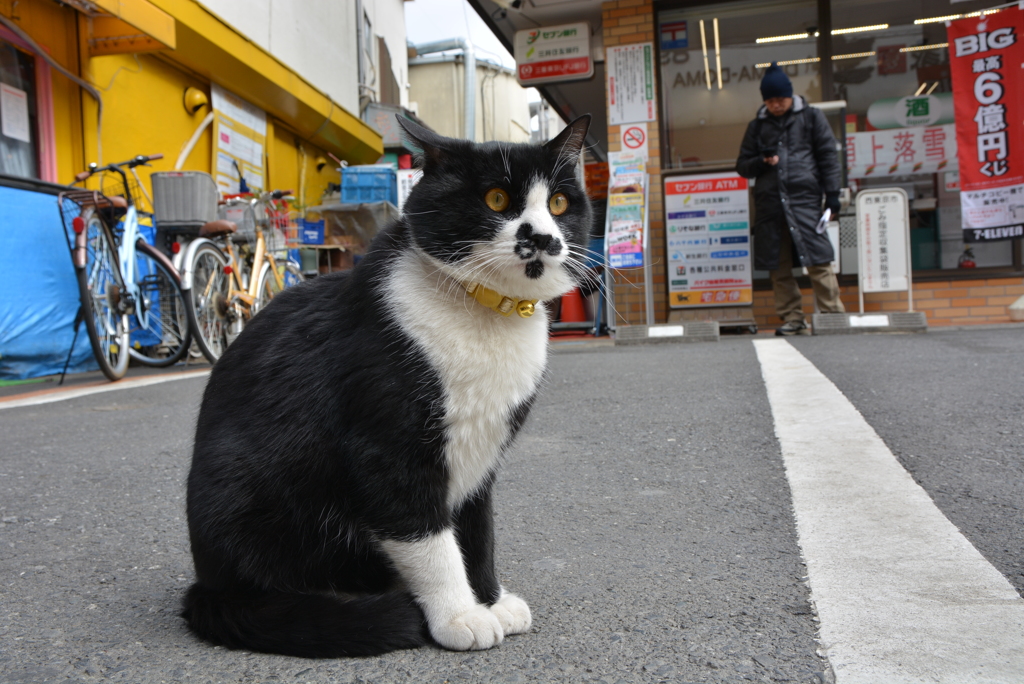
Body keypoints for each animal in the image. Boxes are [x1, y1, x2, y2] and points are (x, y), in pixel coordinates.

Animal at [184, 113, 593, 655]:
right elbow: (429, 537)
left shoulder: (482, 452)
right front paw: (460, 614)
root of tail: (207, 585)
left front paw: (489, 598)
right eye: (496, 199)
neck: (485, 314)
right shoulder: (386, 447)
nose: (545, 238)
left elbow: (478, 531)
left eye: (560, 204)